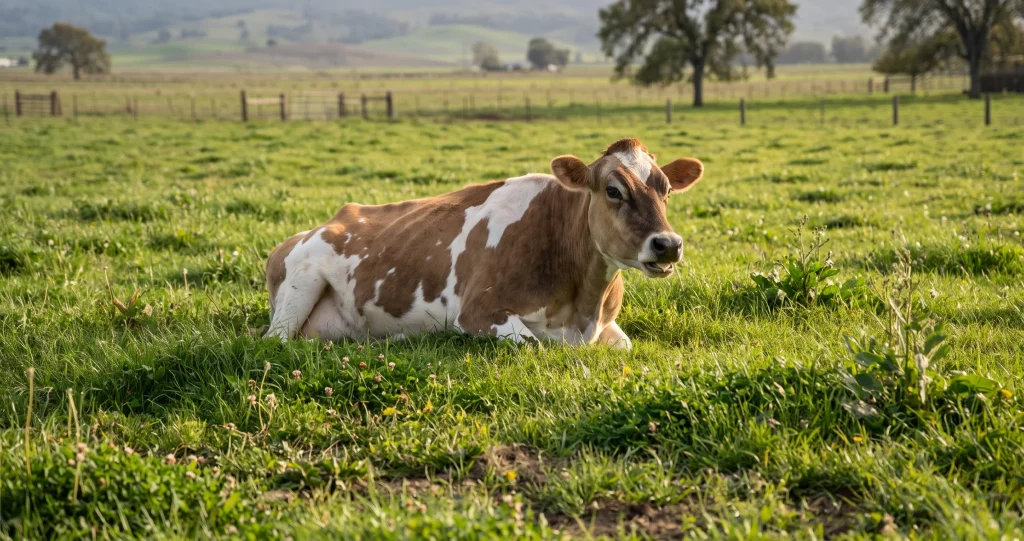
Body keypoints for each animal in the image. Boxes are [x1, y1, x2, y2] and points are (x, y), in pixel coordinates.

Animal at [265, 138, 704, 350]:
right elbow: (534, 345)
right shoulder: (478, 313)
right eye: (613, 190)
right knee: (274, 340)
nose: (668, 244)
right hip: (301, 281)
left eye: (666, 190)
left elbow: (625, 346)